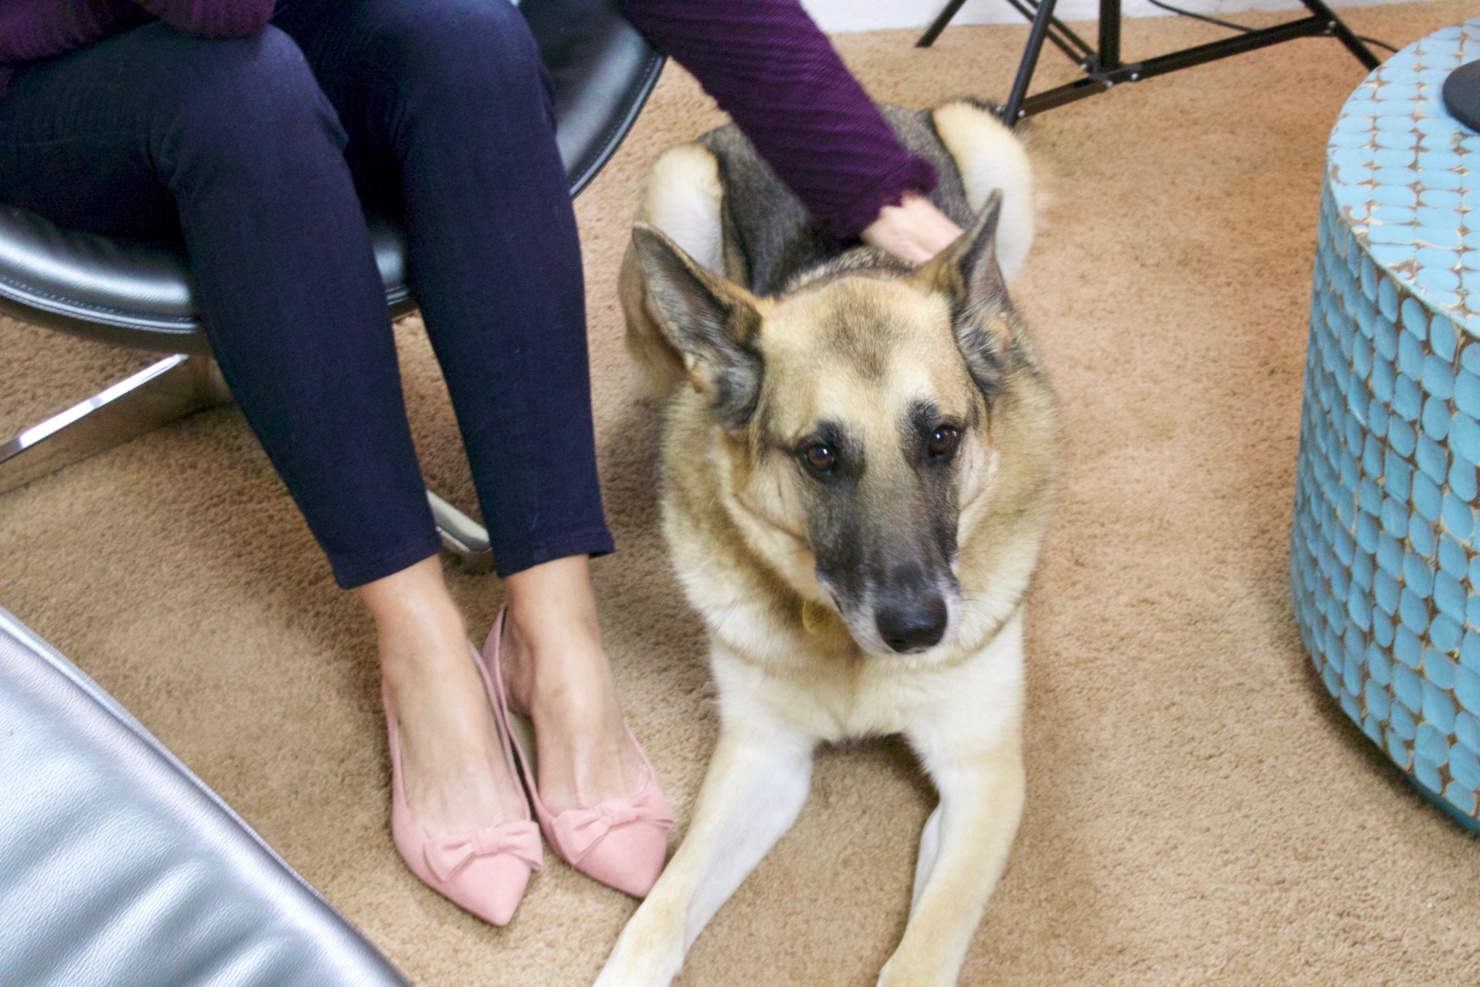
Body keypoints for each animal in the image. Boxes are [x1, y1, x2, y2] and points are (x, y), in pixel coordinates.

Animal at [597, 102, 1053, 987]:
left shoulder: (982, 780)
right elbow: (659, 914)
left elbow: (923, 952)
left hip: (988, 141)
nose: (917, 631)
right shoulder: (760, 762)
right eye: (819, 454)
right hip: (675, 194)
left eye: (942, 437)